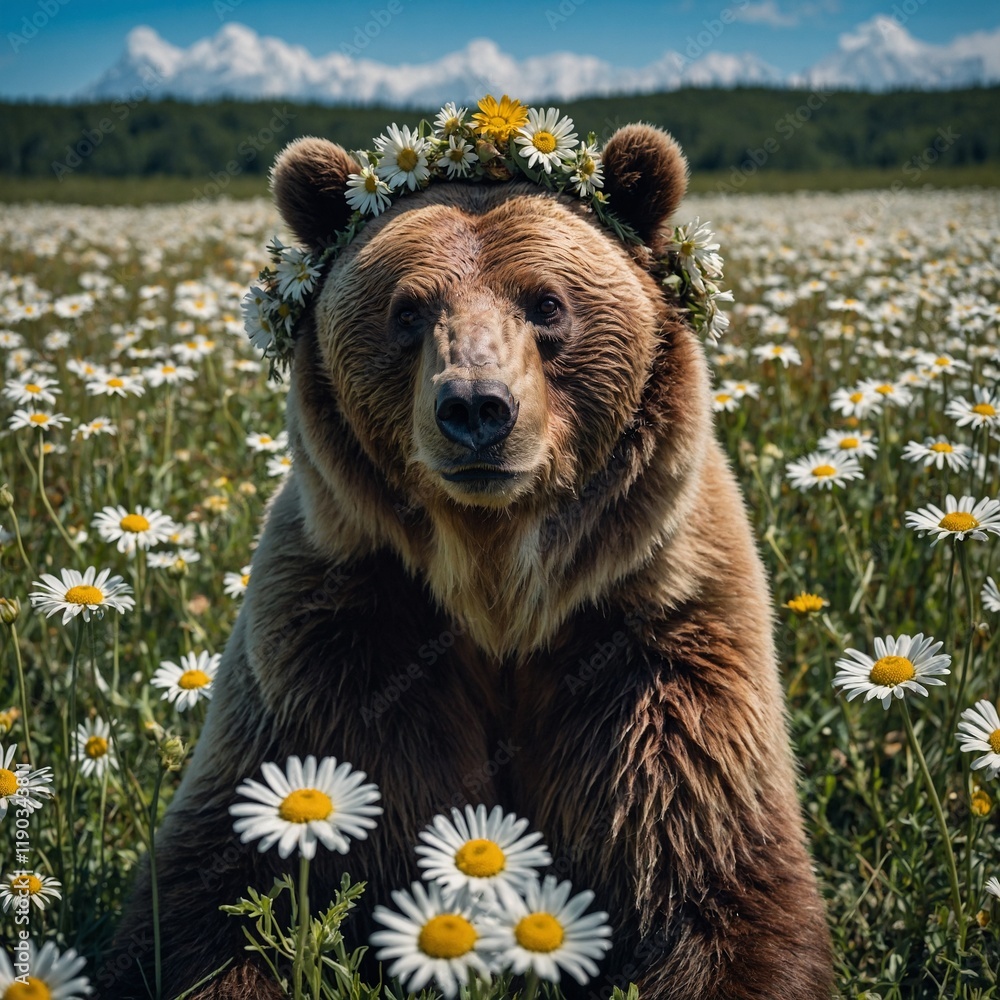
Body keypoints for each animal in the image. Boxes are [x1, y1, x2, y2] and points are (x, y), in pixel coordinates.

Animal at [104, 121, 834, 999]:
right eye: (407, 309)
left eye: (548, 303)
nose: (478, 409)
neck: (497, 584)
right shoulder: (342, 641)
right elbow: (214, 893)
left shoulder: (656, 637)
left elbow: (712, 875)